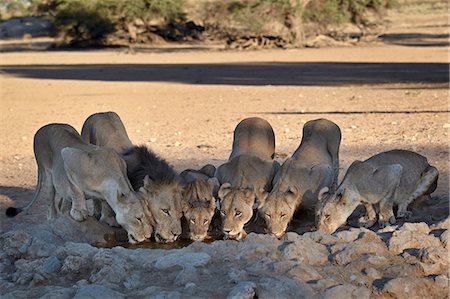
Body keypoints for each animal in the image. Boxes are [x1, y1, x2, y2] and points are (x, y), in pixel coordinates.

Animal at [4, 123, 151, 244]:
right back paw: (53, 219)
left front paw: (109, 218)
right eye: (138, 218)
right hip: (47, 171)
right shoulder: (69, 156)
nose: (147, 236)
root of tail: (43, 128)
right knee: (51, 201)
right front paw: (79, 213)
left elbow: (105, 202)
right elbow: (76, 189)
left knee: (62, 202)